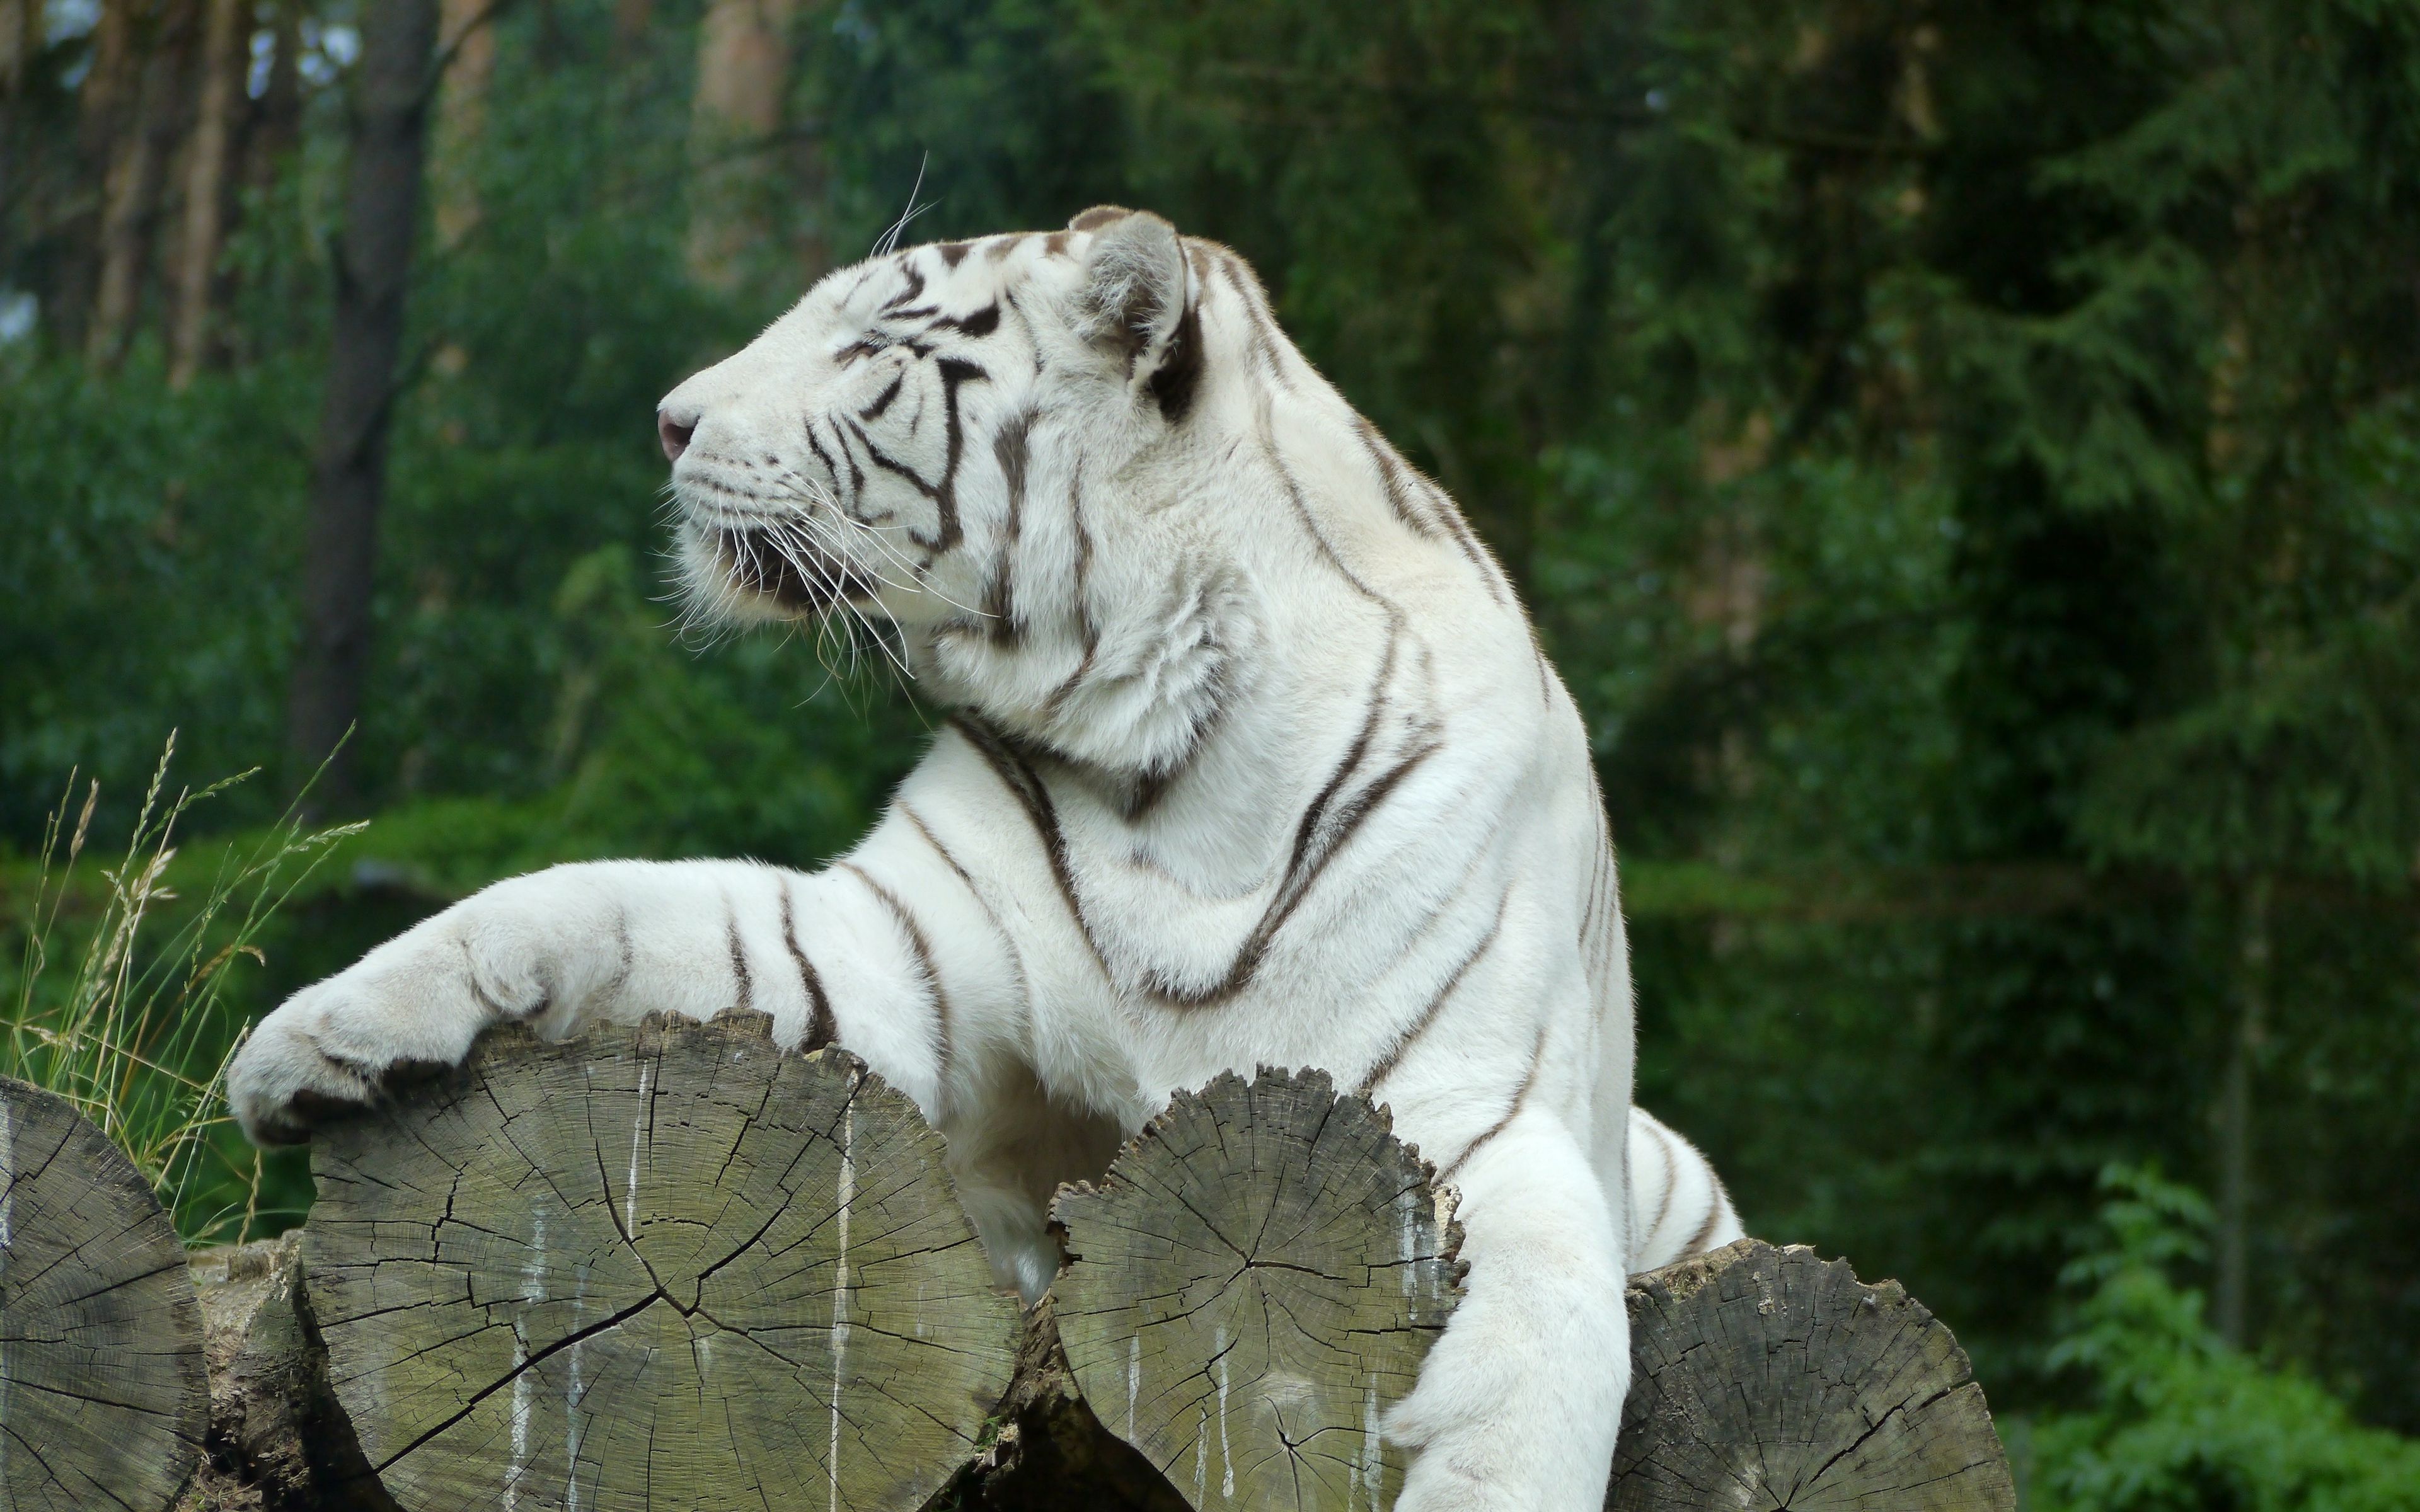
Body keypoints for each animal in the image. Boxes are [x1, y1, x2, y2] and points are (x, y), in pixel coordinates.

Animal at [227, 205, 1742, 1510]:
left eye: (869, 348)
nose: (667, 421)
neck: (1170, 758)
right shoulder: (888, 952)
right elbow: (592, 907)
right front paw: (310, 1042)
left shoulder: (1480, 1104)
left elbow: (1547, 1346)